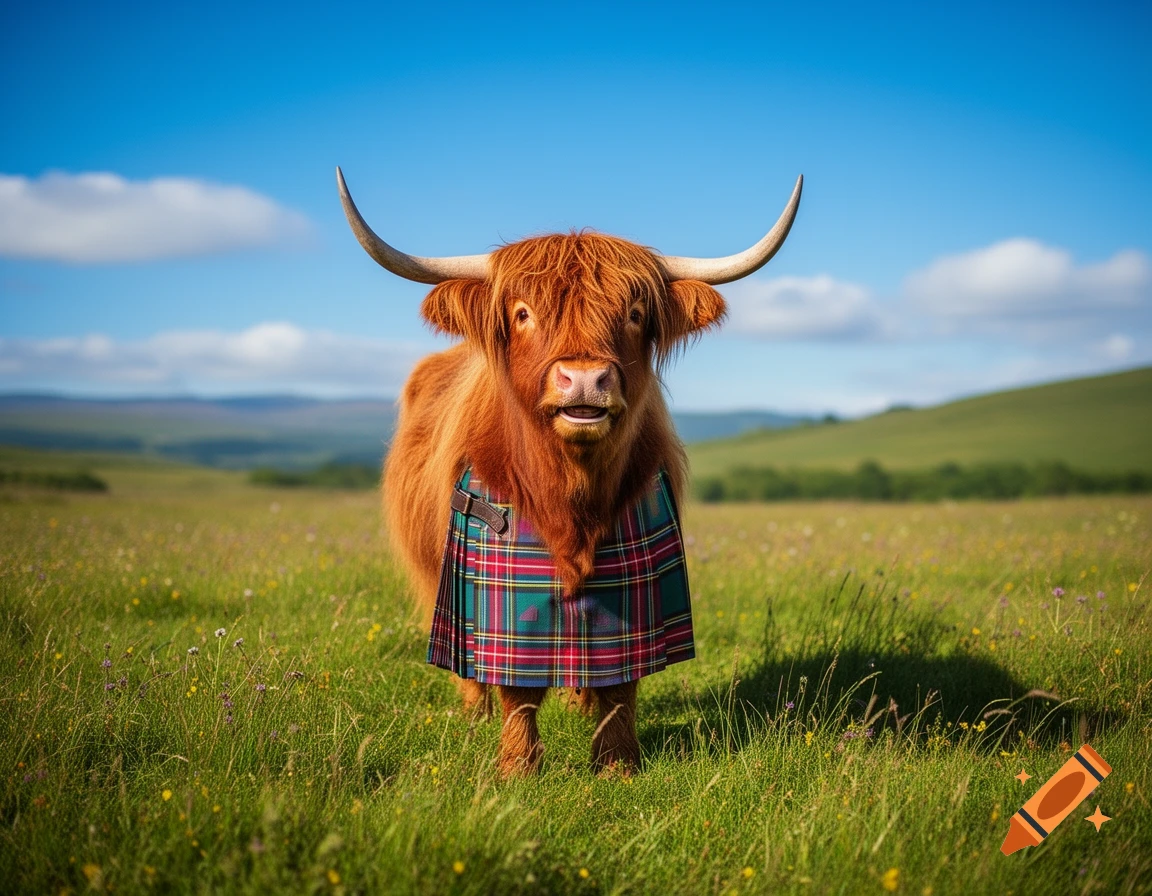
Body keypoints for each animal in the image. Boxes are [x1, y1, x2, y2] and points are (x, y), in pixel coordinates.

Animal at [336, 167, 802, 776]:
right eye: (522, 313)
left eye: (634, 313)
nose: (584, 380)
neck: (570, 496)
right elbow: (514, 681)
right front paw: (518, 767)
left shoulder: (636, 593)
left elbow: (622, 681)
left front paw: (618, 763)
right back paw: (473, 712)